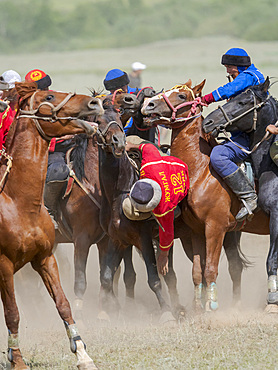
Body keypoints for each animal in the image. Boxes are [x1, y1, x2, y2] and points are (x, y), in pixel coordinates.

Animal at [0, 81, 102, 370]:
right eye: (49, 96)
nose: (94, 103)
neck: (19, 202)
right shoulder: (5, 265)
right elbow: (12, 313)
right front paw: (16, 359)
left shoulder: (45, 258)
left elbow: (63, 303)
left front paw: (82, 353)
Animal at [141, 82, 270, 310]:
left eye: (182, 96)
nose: (148, 104)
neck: (200, 171)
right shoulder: (196, 231)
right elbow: (197, 271)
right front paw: (198, 306)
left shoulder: (215, 228)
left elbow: (210, 268)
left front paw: (211, 305)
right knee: (235, 265)